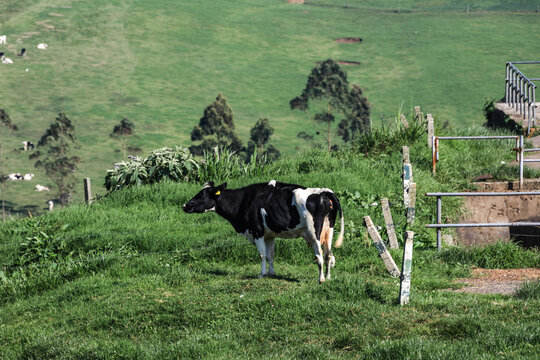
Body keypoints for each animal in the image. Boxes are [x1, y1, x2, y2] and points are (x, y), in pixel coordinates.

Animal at [181, 180, 342, 282]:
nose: (185, 206)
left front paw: (262, 274)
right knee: (329, 255)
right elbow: (270, 255)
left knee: (319, 255)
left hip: (314, 233)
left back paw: (321, 279)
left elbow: (262, 254)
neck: (243, 201)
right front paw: (272, 273)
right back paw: (328, 278)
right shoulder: (269, 235)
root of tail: (323, 192)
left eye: (201, 196)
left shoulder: (257, 231)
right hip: (329, 231)